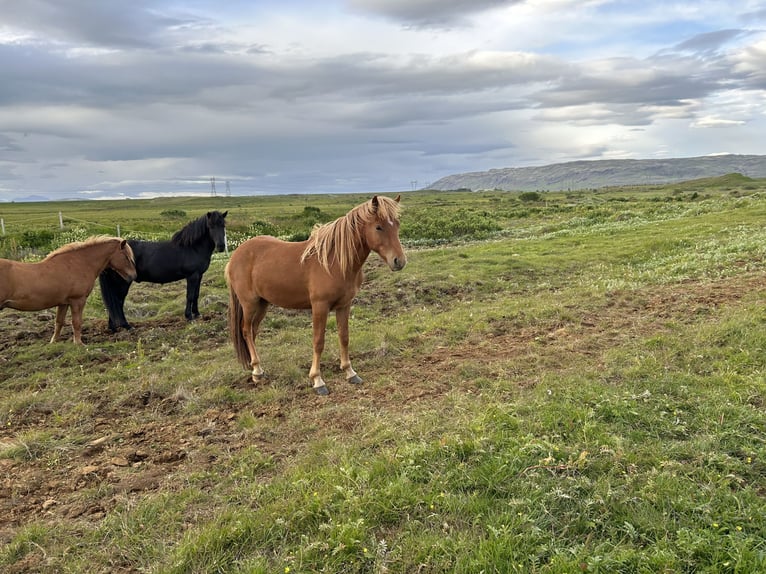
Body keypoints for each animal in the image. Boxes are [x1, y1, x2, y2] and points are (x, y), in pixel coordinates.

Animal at [0, 236, 137, 344]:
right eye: (126, 256)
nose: (133, 276)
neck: (79, 263)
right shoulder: (77, 300)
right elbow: (76, 322)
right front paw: (78, 343)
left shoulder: (63, 303)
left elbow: (59, 322)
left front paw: (54, 342)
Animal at [99, 210, 227, 331]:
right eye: (210, 226)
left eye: (223, 225)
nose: (221, 246)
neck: (193, 248)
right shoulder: (192, 276)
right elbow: (190, 296)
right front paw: (189, 317)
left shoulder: (199, 275)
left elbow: (196, 295)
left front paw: (197, 314)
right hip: (123, 282)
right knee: (118, 301)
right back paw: (126, 326)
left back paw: (113, 327)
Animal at [226, 195, 406, 395]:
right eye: (378, 227)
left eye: (397, 224)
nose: (399, 261)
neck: (335, 262)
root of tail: (236, 254)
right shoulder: (320, 307)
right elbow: (318, 341)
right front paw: (317, 380)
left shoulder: (344, 305)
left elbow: (344, 337)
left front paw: (350, 372)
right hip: (249, 303)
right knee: (246, 330)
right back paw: (256, 369)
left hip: (262, 304)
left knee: (252, 331)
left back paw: (255, 369)